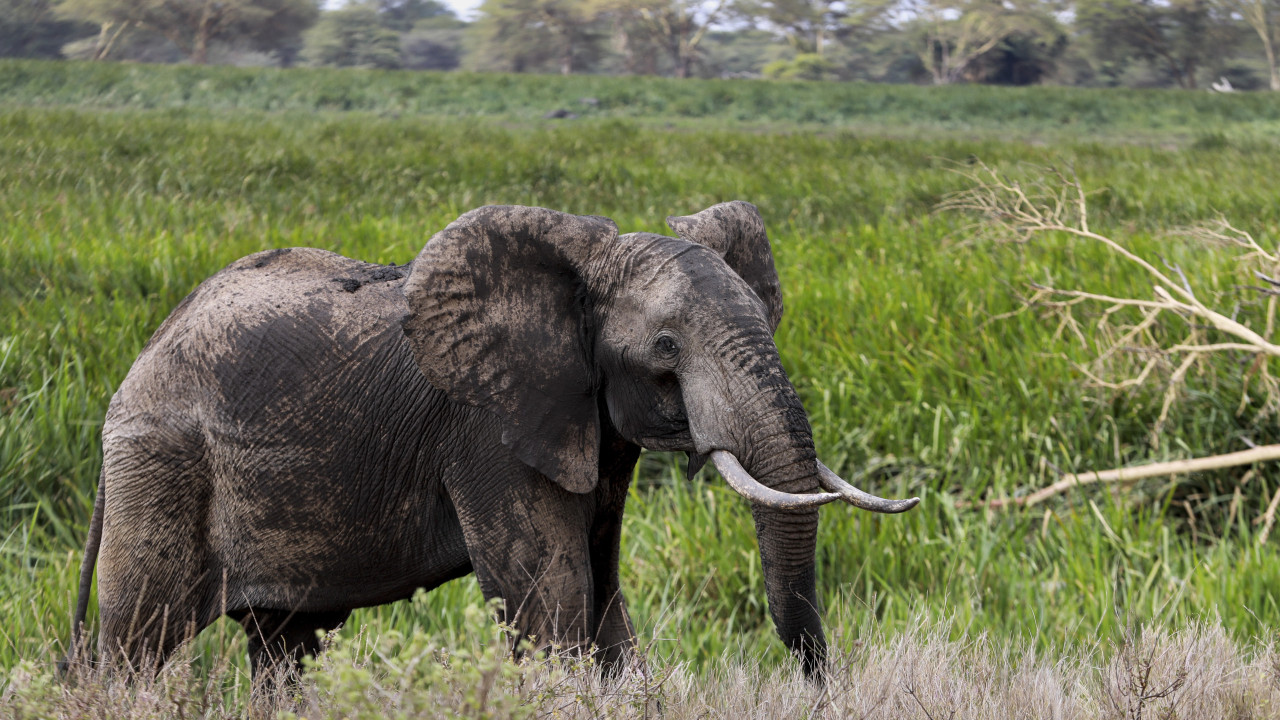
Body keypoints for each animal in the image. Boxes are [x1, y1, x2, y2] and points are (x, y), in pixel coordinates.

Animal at [64, 199, 916, 676]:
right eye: (668, 348)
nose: (820, 682)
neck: (573, 279)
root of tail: (139, 362)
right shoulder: (485, 431)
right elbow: (552, 600)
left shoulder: (585, 419)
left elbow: (603, 599)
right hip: (162, 462)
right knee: (140, 640)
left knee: (286, 646)